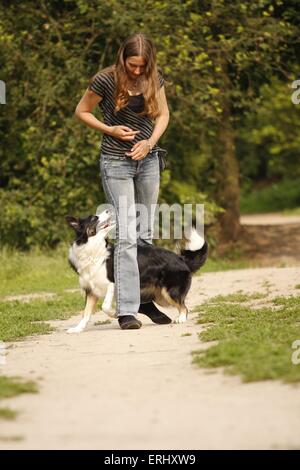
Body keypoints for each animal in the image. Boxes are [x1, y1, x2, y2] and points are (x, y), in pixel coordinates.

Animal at [65, 207, 207, 332]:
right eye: (94, 218)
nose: (108, 210)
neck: (92, 249)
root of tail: (181, 259)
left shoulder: (112, 283)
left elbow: (105, 306)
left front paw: (114, 313)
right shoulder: (91, 291)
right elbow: (85, 313)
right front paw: (77, 329)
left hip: (169, 292)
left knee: (184, 307)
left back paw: (181, 318)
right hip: (160, 297)